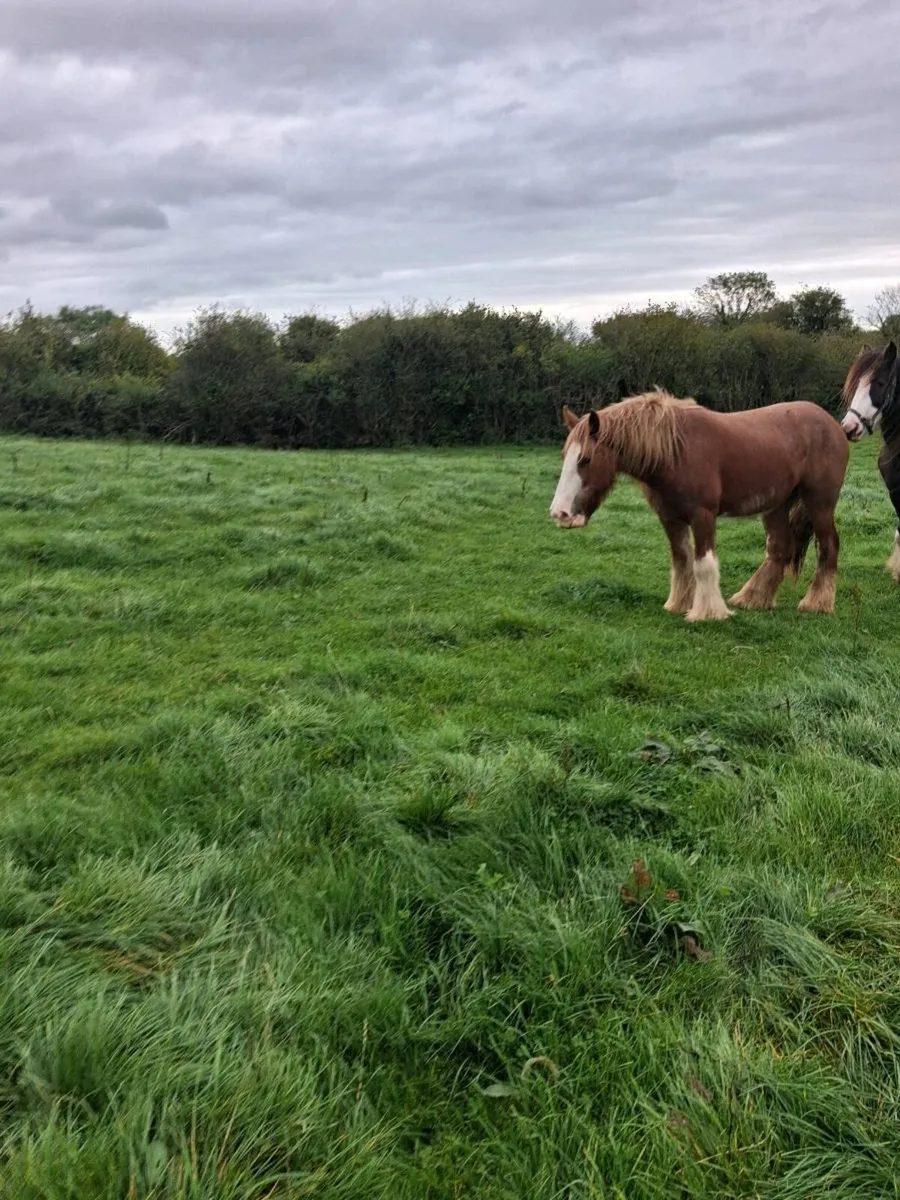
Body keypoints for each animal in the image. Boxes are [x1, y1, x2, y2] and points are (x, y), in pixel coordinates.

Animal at [549, 389, 850, 622]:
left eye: (585, 459)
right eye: (564, 456)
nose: (560, 514)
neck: (675, 451)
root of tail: (833, 425)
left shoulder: (703, 515)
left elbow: (703, 563)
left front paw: (708, 613)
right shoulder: (670, 517)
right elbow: (682, 560)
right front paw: (679, 604)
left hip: (819, 502)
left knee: (828, 545)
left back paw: (817, 603)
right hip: (776, 504)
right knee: (779, 548)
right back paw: (753, 598)